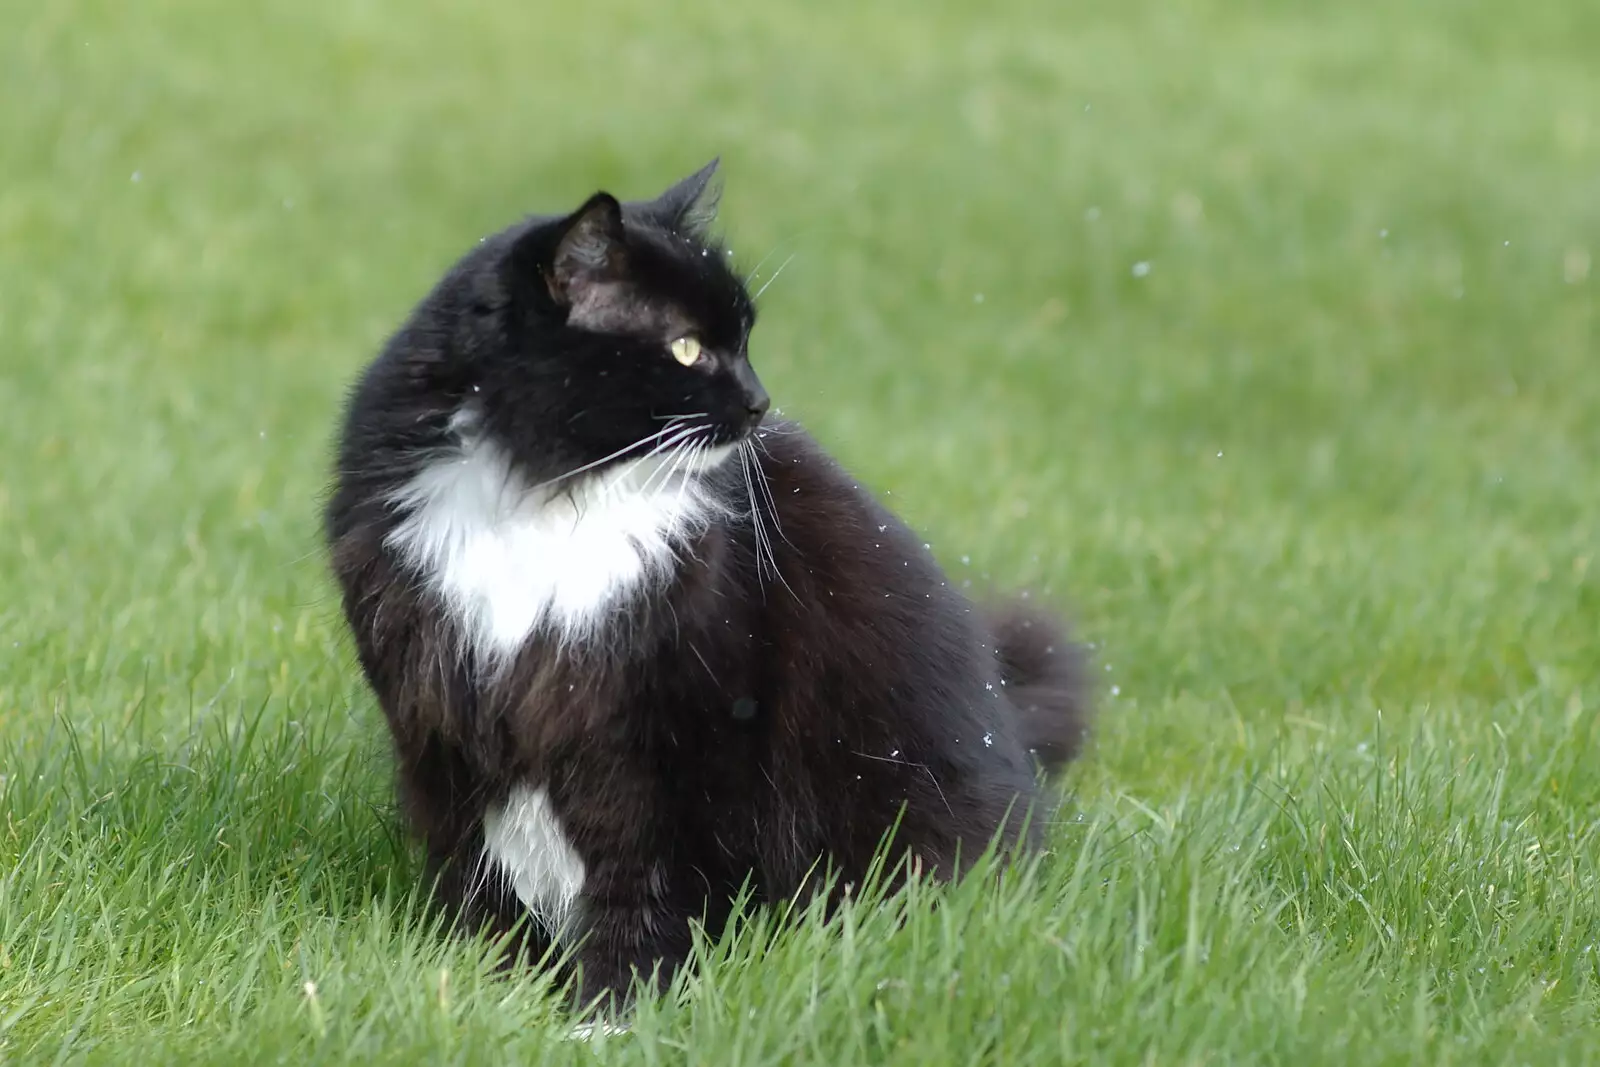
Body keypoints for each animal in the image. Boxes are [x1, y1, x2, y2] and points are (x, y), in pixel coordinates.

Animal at [329, 158, 1094, 1011]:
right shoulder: (444, 723)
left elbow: (648, 885)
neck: (549, 493)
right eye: (689, 349)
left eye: (746, 340)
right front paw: (487, 989)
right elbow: (481, 878)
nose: (761, 402)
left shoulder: (681, 737)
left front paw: (615, 1006)